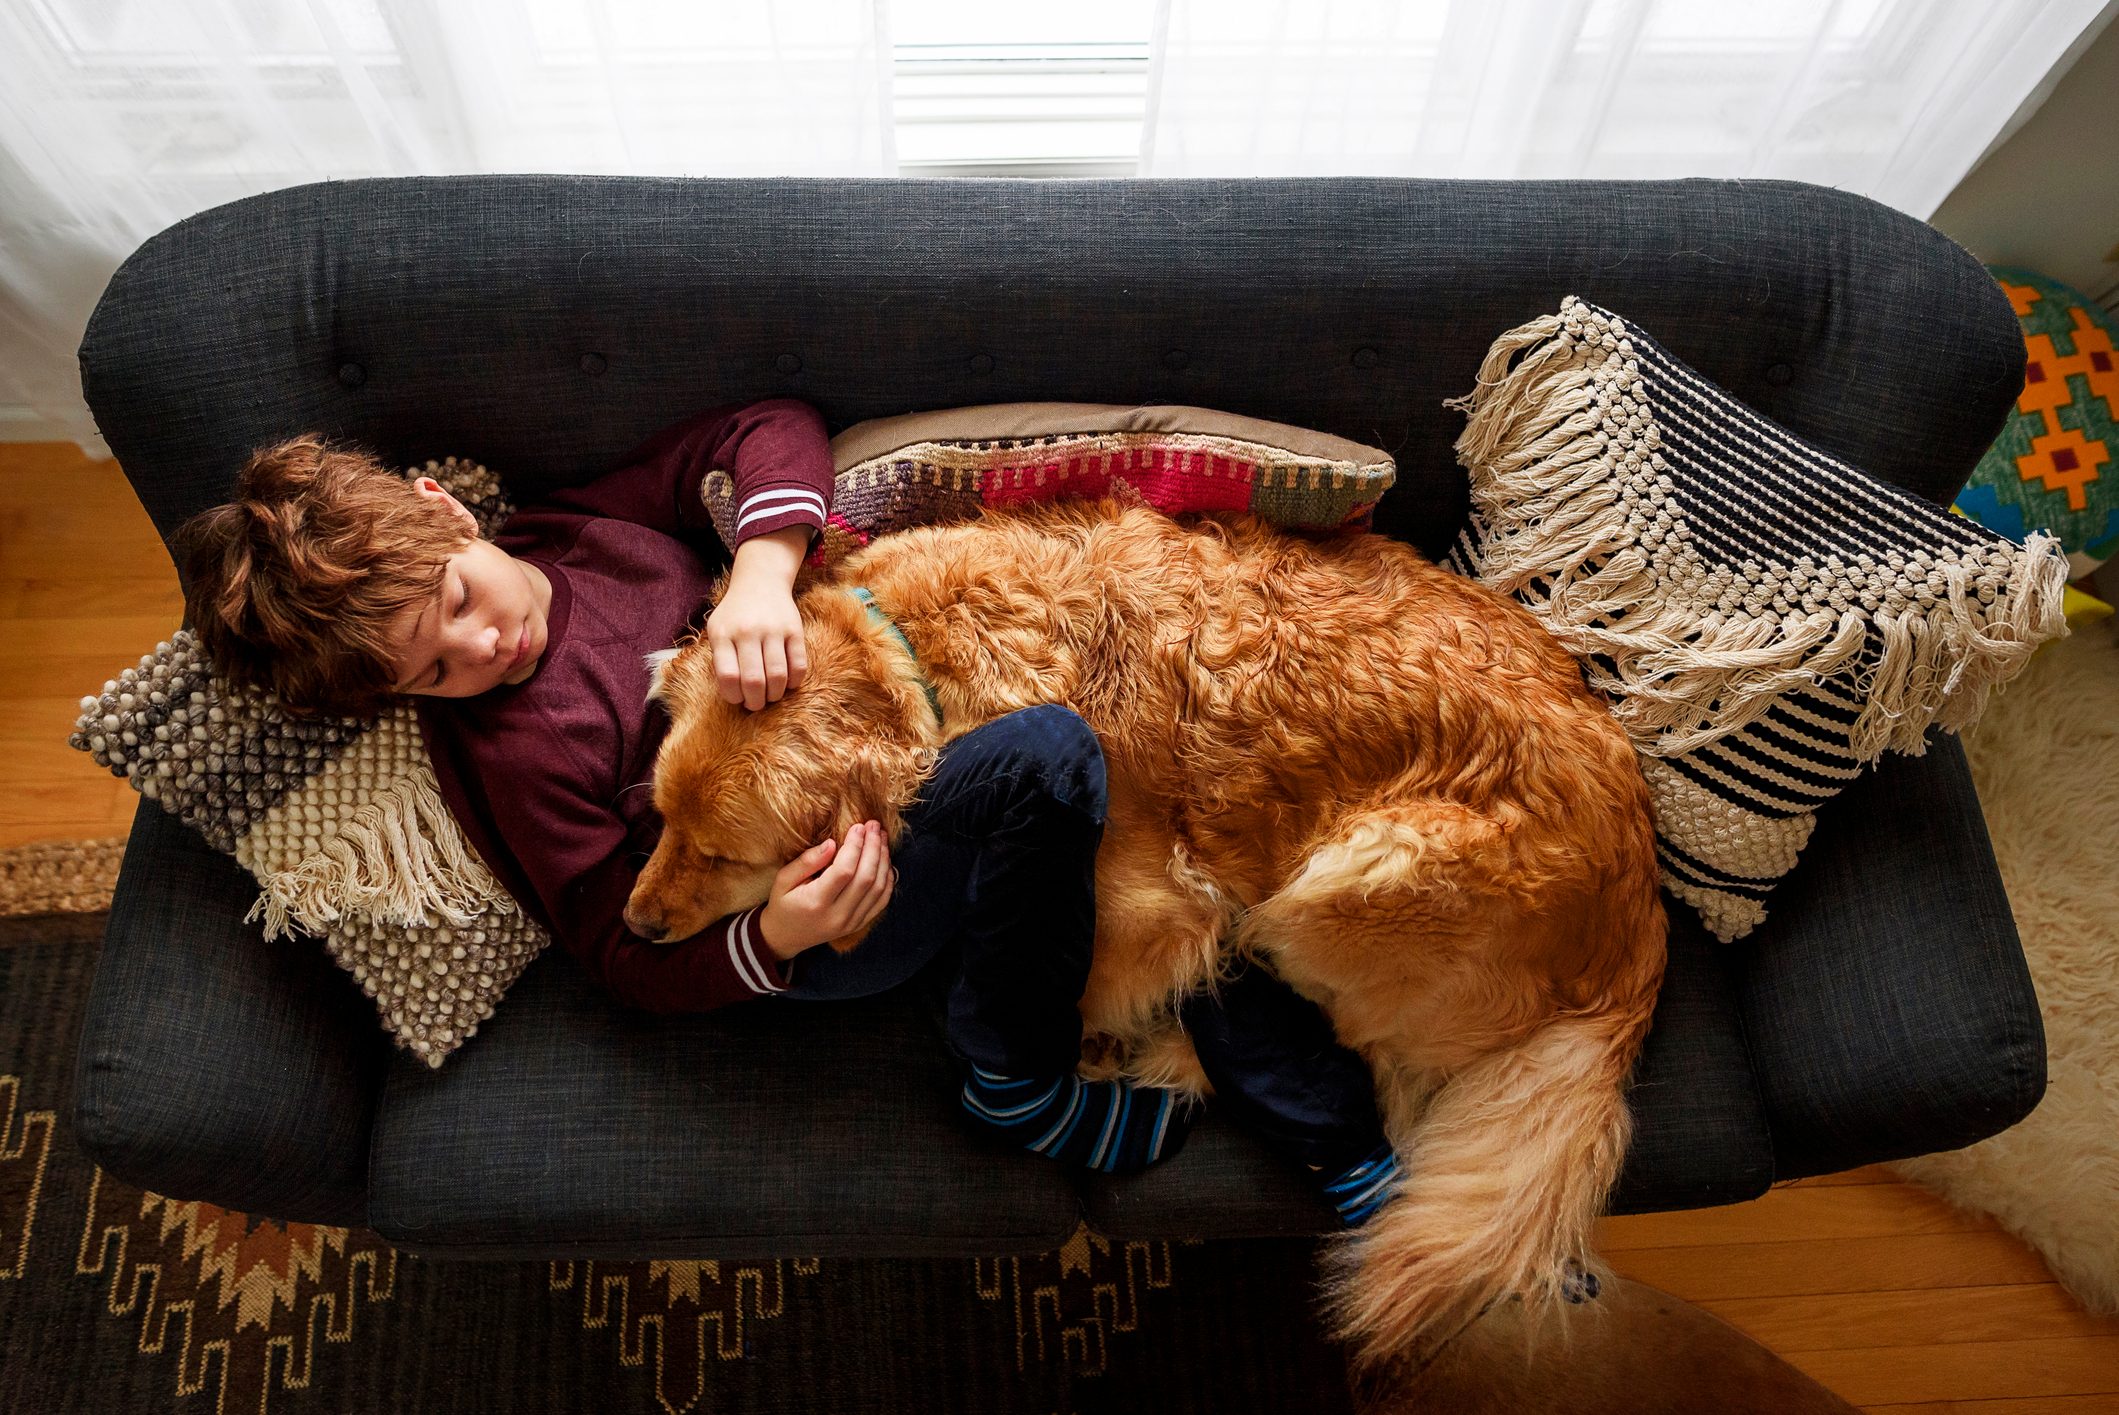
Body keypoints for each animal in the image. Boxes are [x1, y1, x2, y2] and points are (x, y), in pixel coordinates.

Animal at [627, 497, 1669, 1372]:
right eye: (662, 819)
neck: (910, 655)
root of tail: (1637, 939)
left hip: (1340, 884)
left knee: (1363, 1067)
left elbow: (1074, 985)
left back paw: (1149, 1064)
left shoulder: (1169, 910)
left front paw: (1075, 1045)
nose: (636, 926)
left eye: (722, 855)